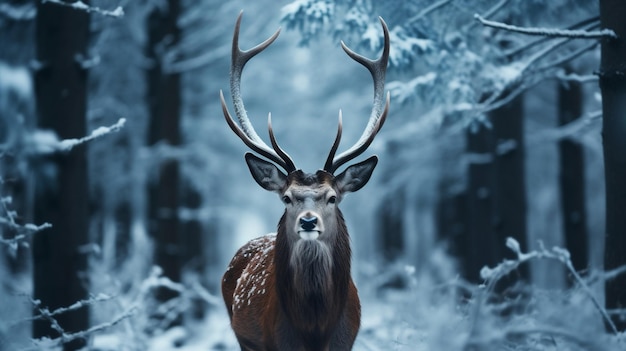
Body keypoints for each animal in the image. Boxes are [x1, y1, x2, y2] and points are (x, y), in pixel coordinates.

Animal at [218, 11, 386, 351]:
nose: (308, 221)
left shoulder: (347, 342)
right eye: (287, 197)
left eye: (332, 197)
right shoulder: (275, 342)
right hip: (244, 339)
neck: (314, 329)